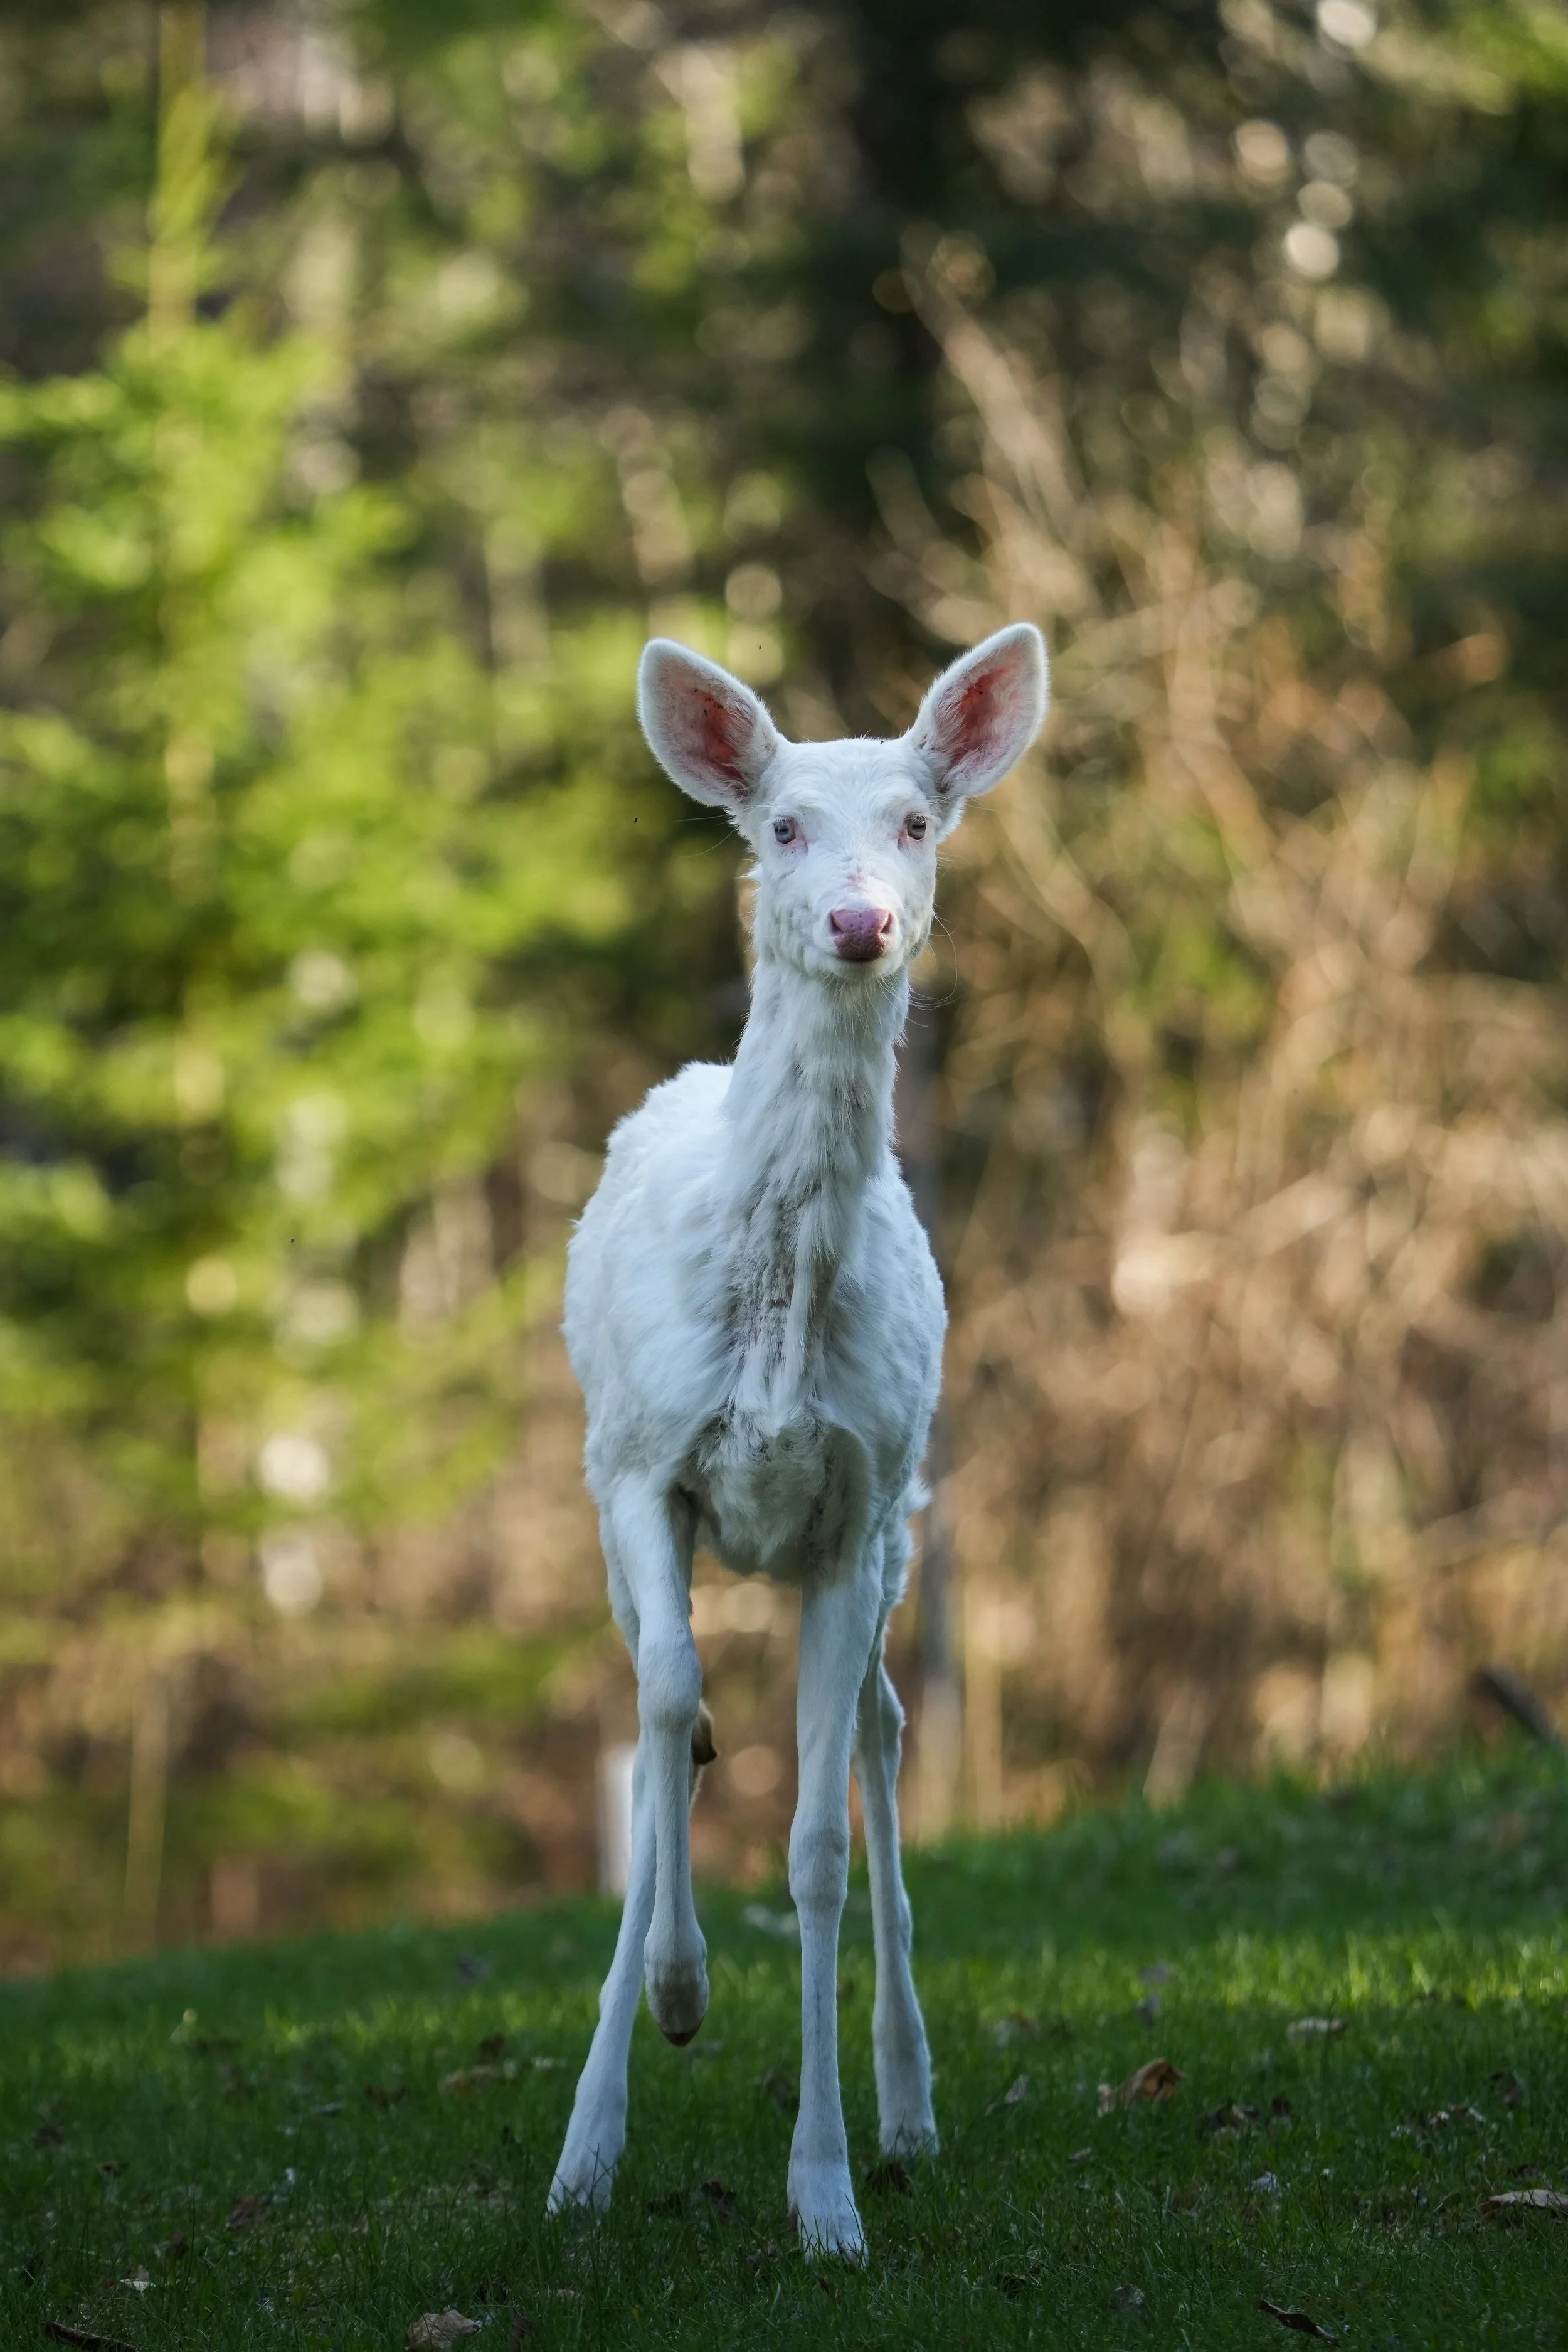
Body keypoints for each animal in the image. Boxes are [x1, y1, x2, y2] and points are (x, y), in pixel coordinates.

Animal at [546, 622, 1049, 2258]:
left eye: (918, 819)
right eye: (776, 825)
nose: (855, 920)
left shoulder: (851, 1503)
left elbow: (818, 1846)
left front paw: (824, 2194)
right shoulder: (645, 1464)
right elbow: (658, 1713)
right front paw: (652, 2034)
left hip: (903, 1521)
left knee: (884, 1731)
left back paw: (907, 2106)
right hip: (608, 1482)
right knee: (660, 1709)